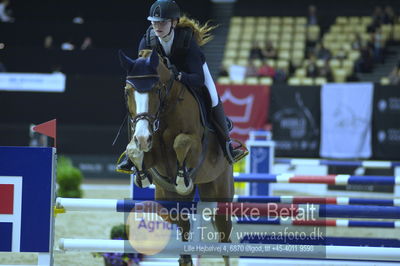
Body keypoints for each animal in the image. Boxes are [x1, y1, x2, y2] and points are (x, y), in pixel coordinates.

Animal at [117, 48, 233, 266]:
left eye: (156, 89)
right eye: (127, 91)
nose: (143, 137)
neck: (165, 109)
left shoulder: (195, 145)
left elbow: (181, 142)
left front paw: (181, 178)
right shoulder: (155, 157)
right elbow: (134, 150)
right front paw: (141, 174)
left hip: (219, 190)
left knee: (225, 238)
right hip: (166, 199)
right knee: (182, 223)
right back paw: (185, 256)